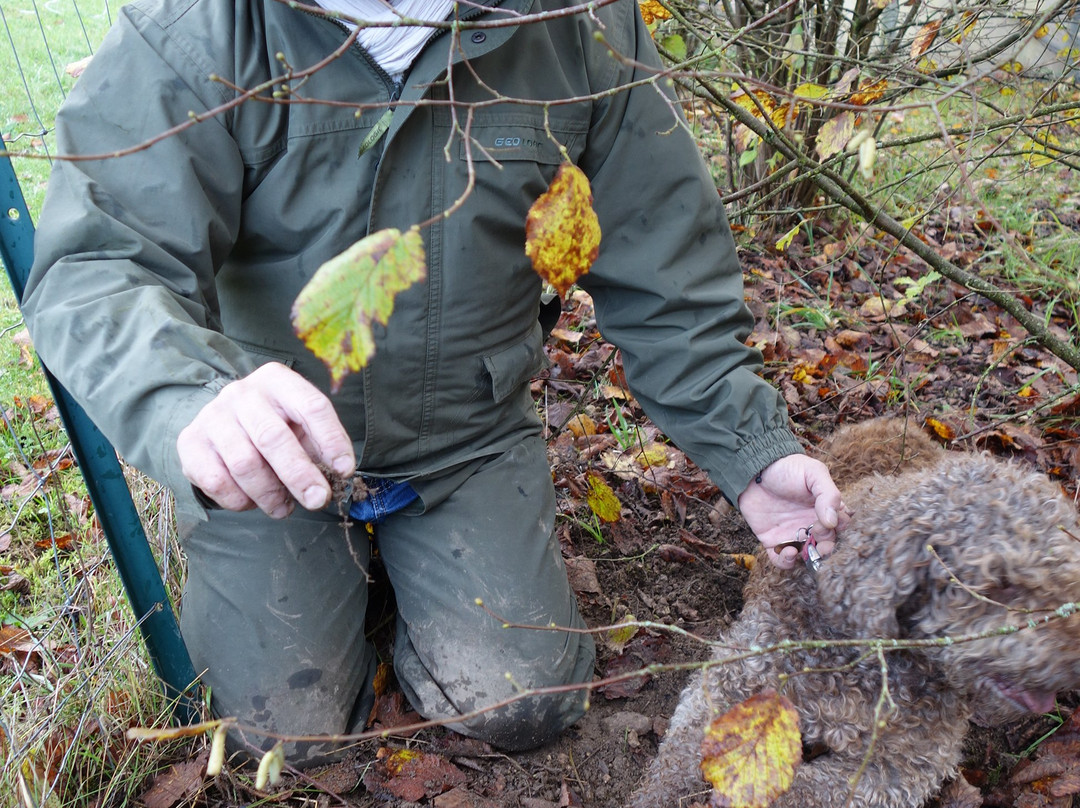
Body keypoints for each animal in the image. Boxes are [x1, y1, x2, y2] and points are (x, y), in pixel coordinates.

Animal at [630, 419, 1080, 803]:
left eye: (1071, 579)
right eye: (1000, 584)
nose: (1074, 663)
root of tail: (897, 422)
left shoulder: (900, 768)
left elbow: (806, 791)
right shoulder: (735, 676)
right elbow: (682, 752)